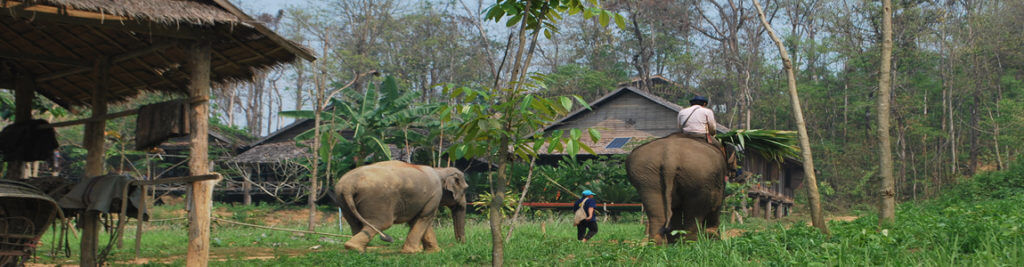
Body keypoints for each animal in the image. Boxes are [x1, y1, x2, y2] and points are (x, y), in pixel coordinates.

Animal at [331, 159, 468, 251]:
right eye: (466, 188)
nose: (460, 244)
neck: (440, 170)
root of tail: (348, 185)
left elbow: (417, 220)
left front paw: (434, 251)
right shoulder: (435, 195)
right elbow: (424, 218)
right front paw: (414, 251)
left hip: (342, 201)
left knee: (355, 224)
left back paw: (361, 248)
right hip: (378, 200)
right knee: (380, 223)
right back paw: (355, 247)